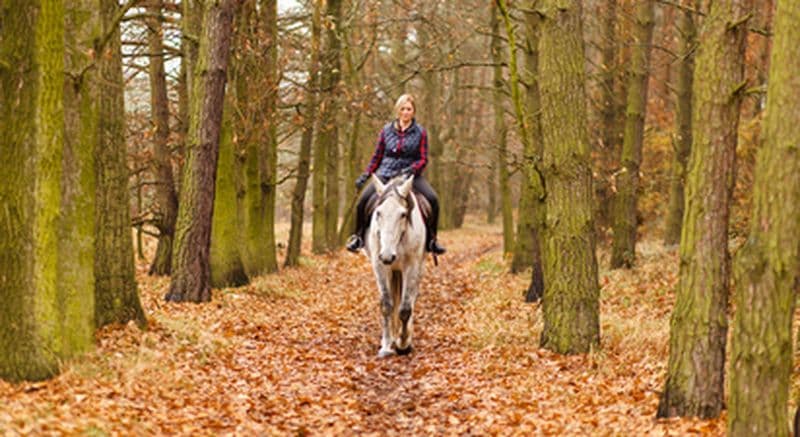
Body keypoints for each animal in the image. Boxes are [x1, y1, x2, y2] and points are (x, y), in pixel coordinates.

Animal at [364, 174, 427, 358]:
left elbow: (405, 308)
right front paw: (386, 345)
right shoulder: (380, 266)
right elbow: (387, 305)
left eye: (403, 215)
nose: (387, 255)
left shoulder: (411, 266)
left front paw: (403, 344)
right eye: (378, 213)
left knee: (411, 298)